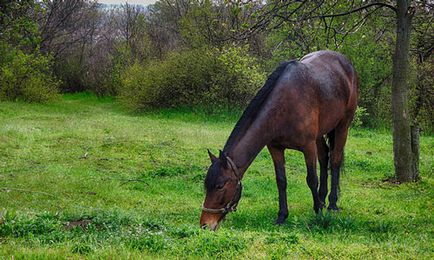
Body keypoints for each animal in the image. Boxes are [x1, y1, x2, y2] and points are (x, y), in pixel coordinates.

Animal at [200, 50, 356, 230]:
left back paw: (331, 204)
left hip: (343, 126)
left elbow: (311, 179)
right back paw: (322, 199)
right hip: (320, 134)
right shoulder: (275, 148)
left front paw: (318, 213)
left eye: (220, 186)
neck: (285, 104)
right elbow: (281, 181)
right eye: (206, 185)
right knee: (324, 159)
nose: (204, 224)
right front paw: (282, 216)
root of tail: (345, 62)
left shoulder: (308, 147)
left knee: (335, 160)